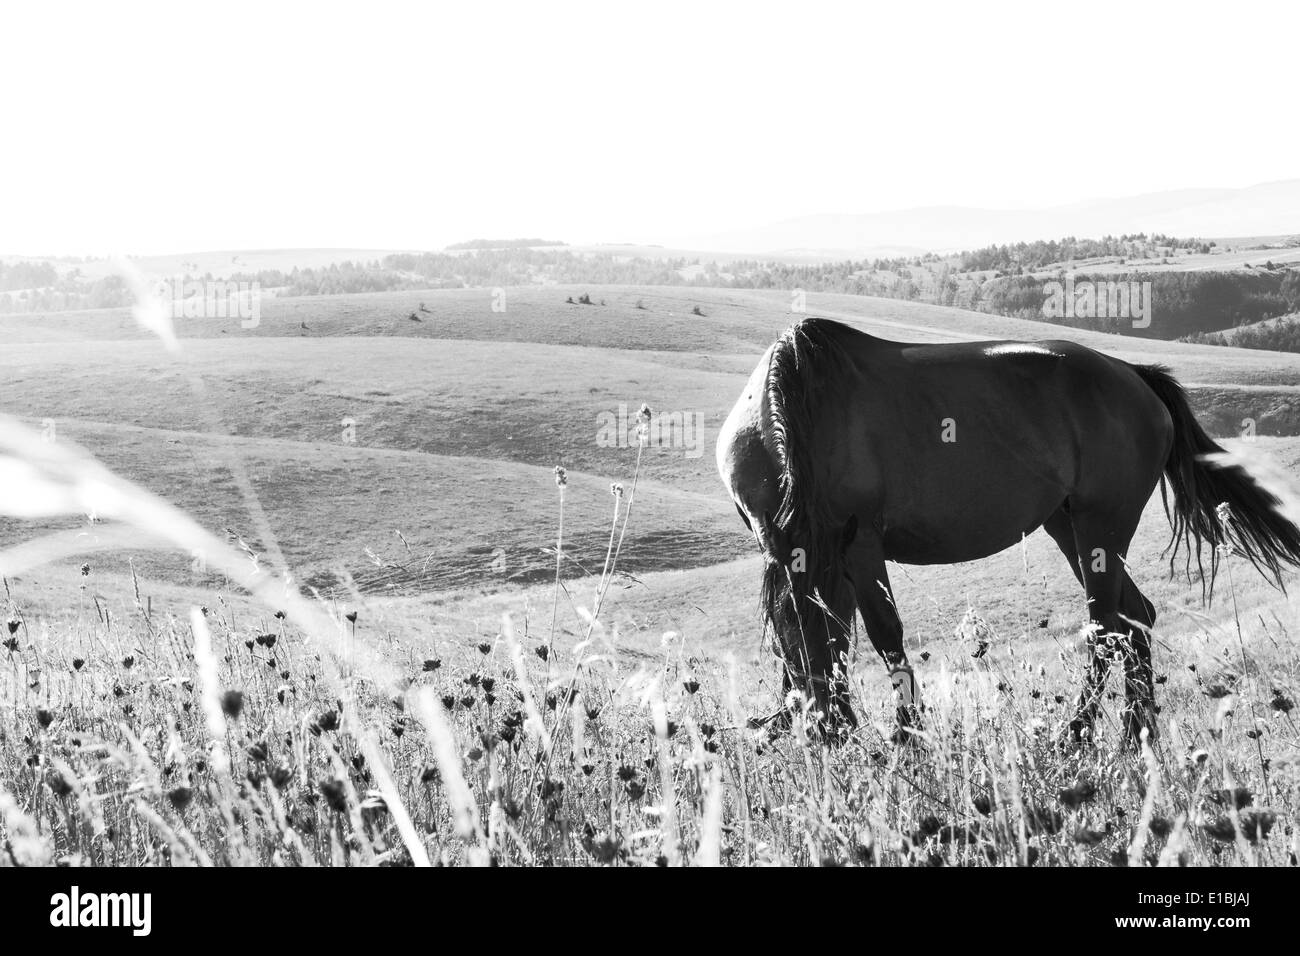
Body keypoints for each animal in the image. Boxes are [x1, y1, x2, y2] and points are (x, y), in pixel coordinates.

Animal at [717, 317, 1300, 743]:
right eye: (790, 637)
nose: (829, 731)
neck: (800, 412)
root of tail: (1137, 377)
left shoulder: (858, 545)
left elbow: (883, 636)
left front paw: (908, 738)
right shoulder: (800, 549)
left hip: (1102, 525)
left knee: (1107, 625)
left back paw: (1076, 736)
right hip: (1066, 525)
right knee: (1135, 621)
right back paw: (1137, 739)